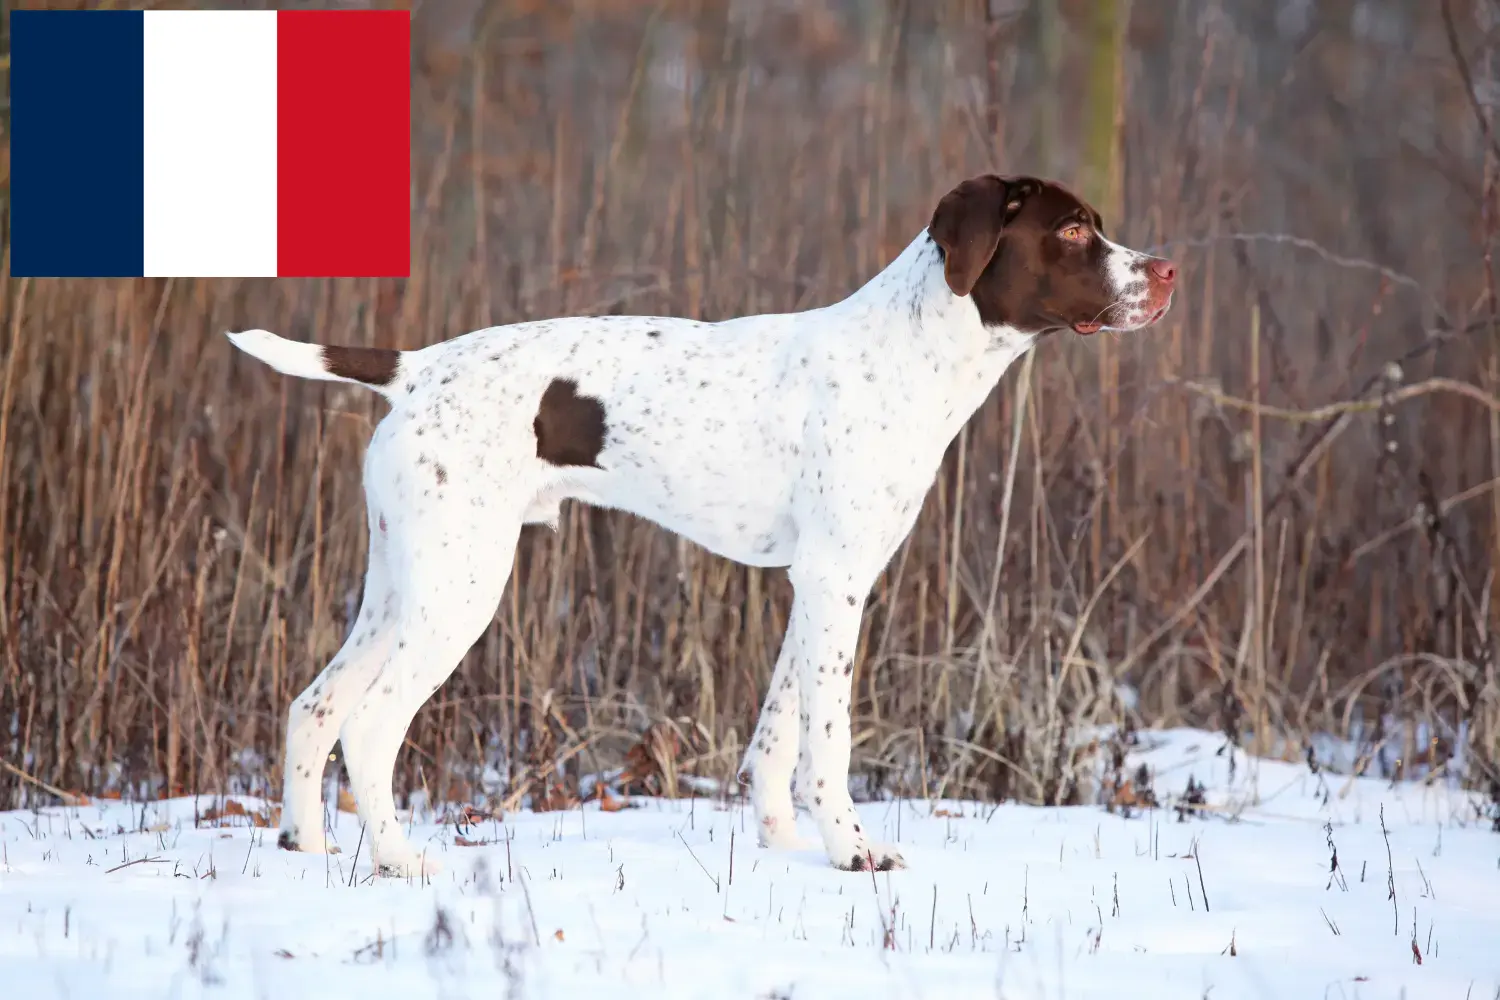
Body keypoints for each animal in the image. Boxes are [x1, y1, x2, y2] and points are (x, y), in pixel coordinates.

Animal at [228, 173, 1176, 875]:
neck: (909, 355)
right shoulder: (835, 581)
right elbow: (827, 744)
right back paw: (399, 861)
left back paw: (307, 850)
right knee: (368, 724)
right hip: (459, 590)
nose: (1167, 272)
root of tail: (417, 368)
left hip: (402, 585)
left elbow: (779, 735)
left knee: (313, 706)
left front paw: (784, 845)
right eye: (1071, 232)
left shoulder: (820, 585)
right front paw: (853, 852)